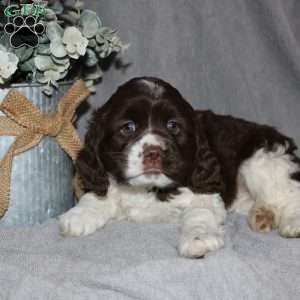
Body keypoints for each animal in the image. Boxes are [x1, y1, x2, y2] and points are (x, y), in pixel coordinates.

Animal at [59, 77, 300, 258]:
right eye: (128, 127)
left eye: (173, 126)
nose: (153, 152)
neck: (148, 188)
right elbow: (100, 194)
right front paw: (78, 215)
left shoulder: (206, 191)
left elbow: (199, 214)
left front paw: (198, 239)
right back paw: (263, 215)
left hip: (263, 160)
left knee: (289, 193)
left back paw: (292, 223)